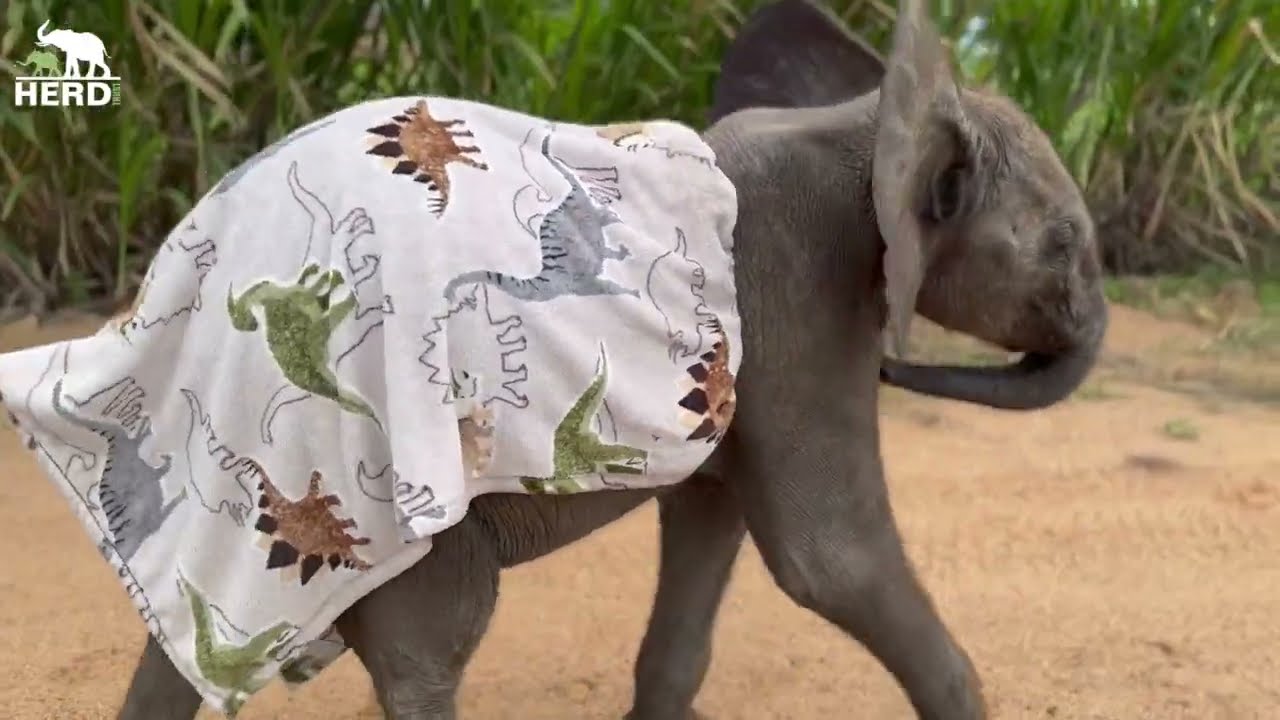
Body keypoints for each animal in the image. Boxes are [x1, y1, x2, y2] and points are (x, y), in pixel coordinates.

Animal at [114, 0, 1107, 718]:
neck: (868, 111)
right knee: (429, 648)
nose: (896, 372)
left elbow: (712, 521)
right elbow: (831, 559)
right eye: (1063, 248)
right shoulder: (801, 295)